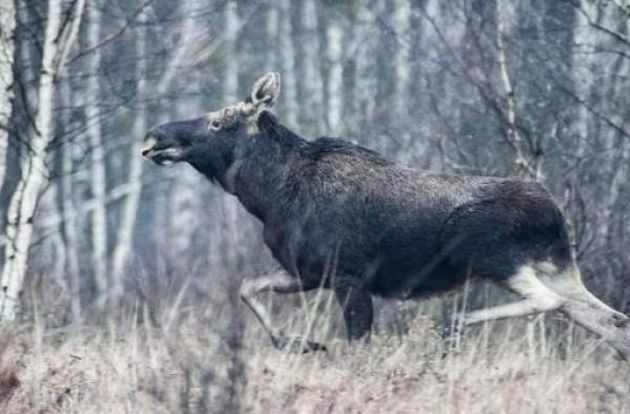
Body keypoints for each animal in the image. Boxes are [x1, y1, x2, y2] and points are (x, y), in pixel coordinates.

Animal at [143, 73, 630, 358]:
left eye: (218, 121)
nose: (154, 136)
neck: (267, 196)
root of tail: (554, 214)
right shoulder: (306, 272)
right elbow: (247, 287)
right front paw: (299, 342)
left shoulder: (348, 276)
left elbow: (359, 346)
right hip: (557, 267)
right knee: (609, 320)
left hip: (493, 257)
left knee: (552, 302)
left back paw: (452, 325)